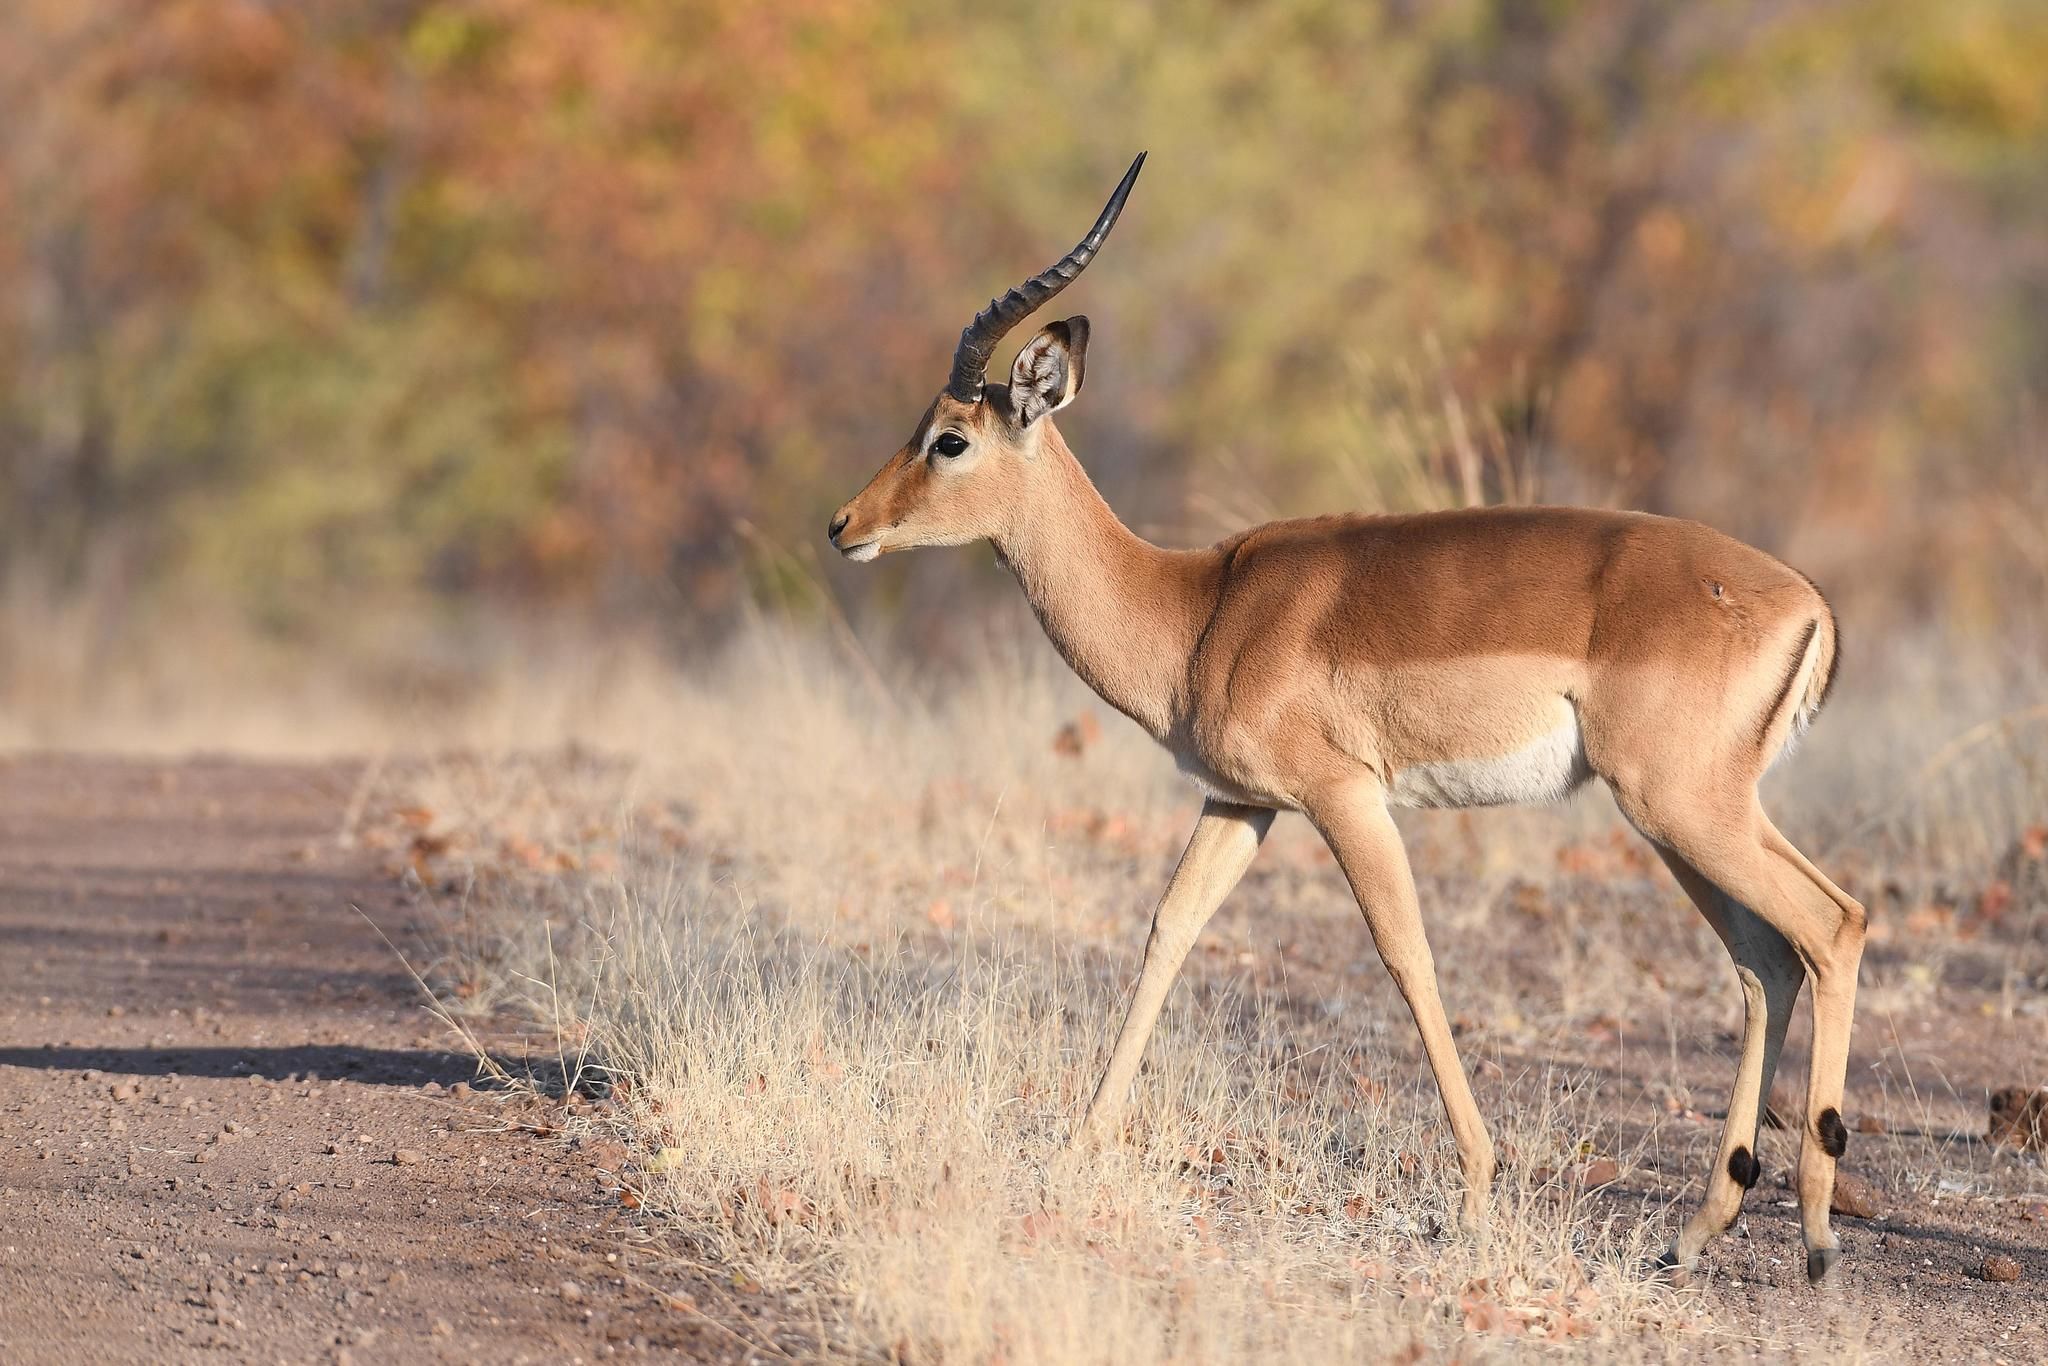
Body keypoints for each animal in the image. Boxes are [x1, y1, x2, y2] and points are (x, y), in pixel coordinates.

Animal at [828, 154, 1866, 1285]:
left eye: (950, 438)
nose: (843, 525)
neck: (1196, 609)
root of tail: (1807, 603)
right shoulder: (1240, 804)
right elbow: (1169, 930)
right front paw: (1071, 1150)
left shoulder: (1342, 796)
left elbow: (1404, 953)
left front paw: (1475, 1188)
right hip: (1681, 818)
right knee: (1767, 958)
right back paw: (1698, 1228)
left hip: (1681, 806)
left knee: (1832, 924)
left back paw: (1817, 1236)